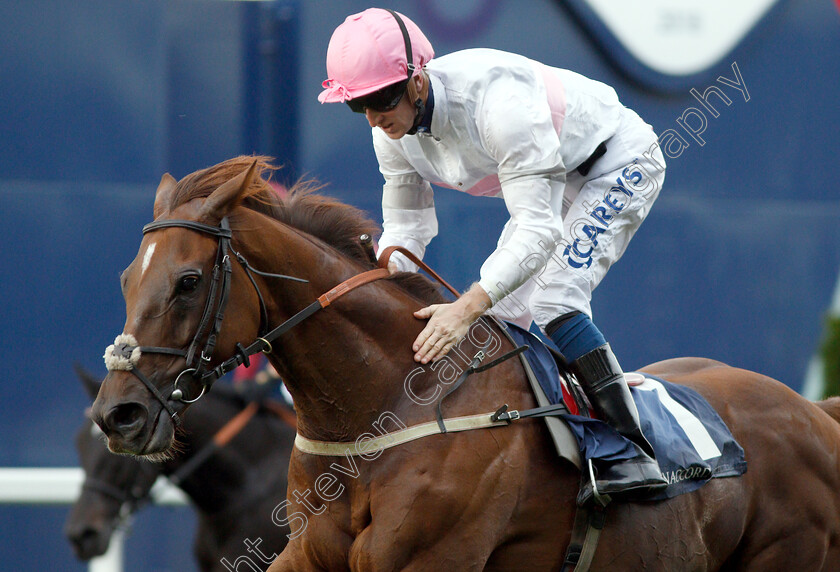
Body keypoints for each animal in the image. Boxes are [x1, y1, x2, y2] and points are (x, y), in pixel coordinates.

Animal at [90, 155, 840, 568]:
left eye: (188, 282)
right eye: (126, 278)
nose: (116, 415)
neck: (386, 405)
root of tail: (815, 413)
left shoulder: (428, 557)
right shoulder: (307, 552)